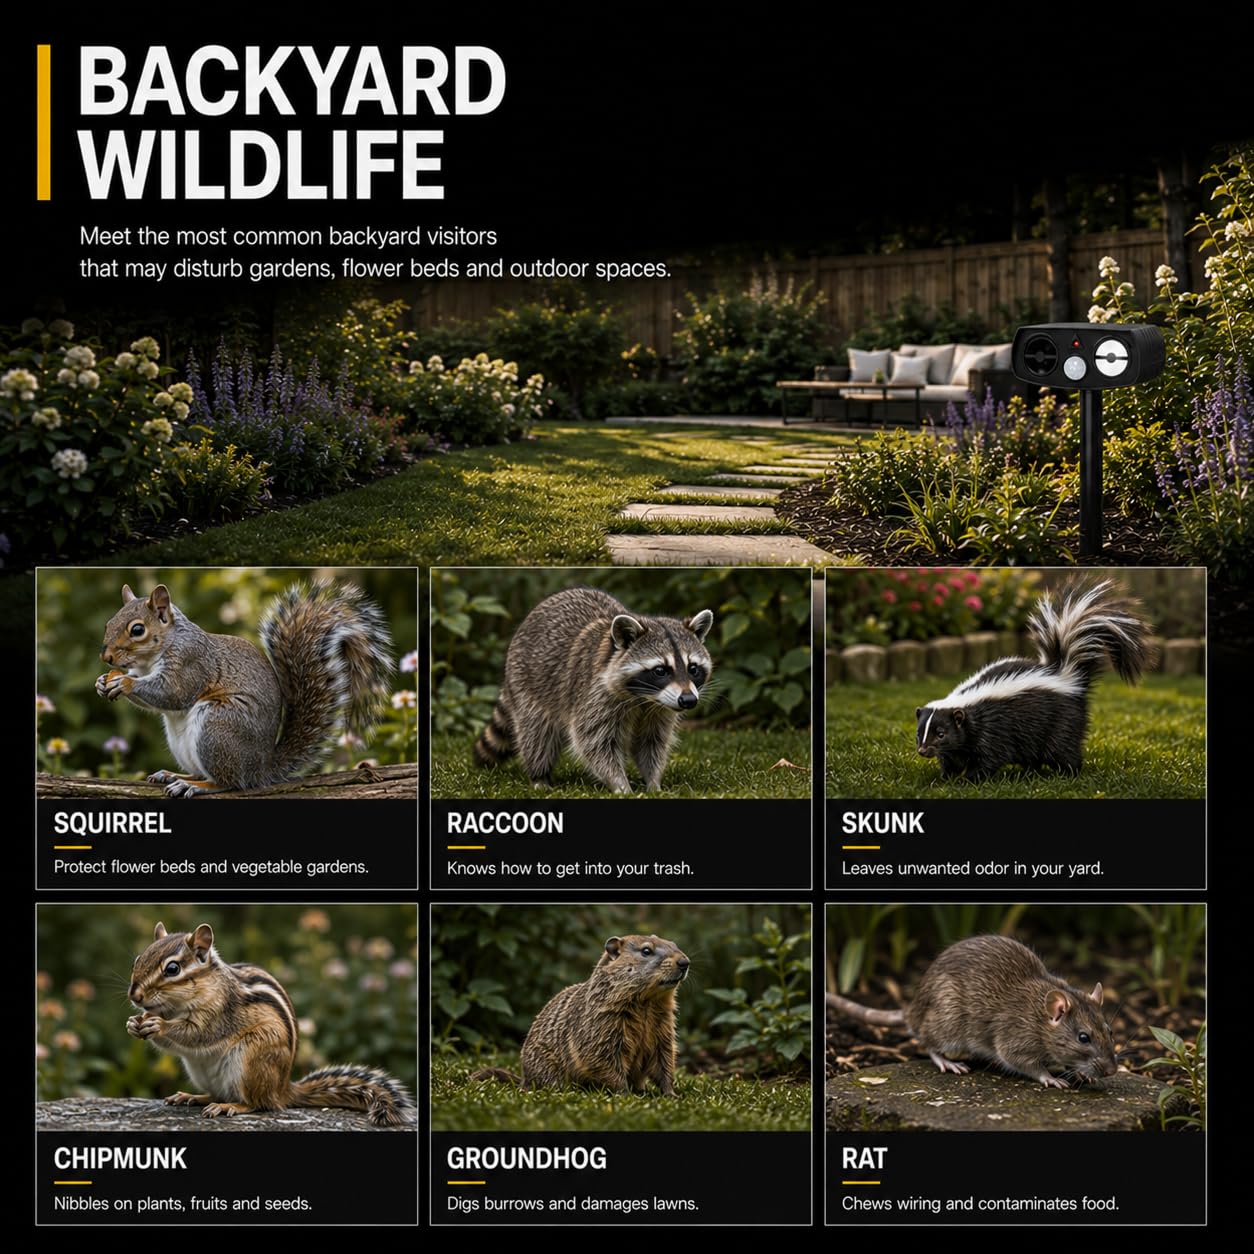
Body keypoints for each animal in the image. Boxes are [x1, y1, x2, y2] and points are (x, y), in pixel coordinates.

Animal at [96, 579, 392, 797]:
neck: (153, 657)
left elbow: (174, 693)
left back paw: (194, 785)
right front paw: (102, 682)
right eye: (108, 623)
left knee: (228, 782)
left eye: (137, 630)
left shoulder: (191, 662)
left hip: (217, 727)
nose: (106, 657)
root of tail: (261, 768)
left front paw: (124, 682)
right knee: (203, 771)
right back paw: (173, 775)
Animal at [127, 922, 415, 1126]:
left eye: (172, 969)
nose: (135, 996)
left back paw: (230, 1106)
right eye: (137, 960)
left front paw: (159, 1026)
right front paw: (134, 1023)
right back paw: (193, 1097)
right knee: (221, 1093)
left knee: (257, 1103)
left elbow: (197, 1034)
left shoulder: (219, 1014)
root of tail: (283, 1089)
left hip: (252, 1059)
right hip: (202, 1071)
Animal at [473, 934, 689, 1095]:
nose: (684, 961)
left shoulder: (662, 1026)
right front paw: (625, 1093)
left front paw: (671, 1094)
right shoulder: (604, 1023)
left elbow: (664, 1057)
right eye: (646, 951)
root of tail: (524, 1079)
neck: (647, 1004)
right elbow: (603, 1056)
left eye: (674, 944)